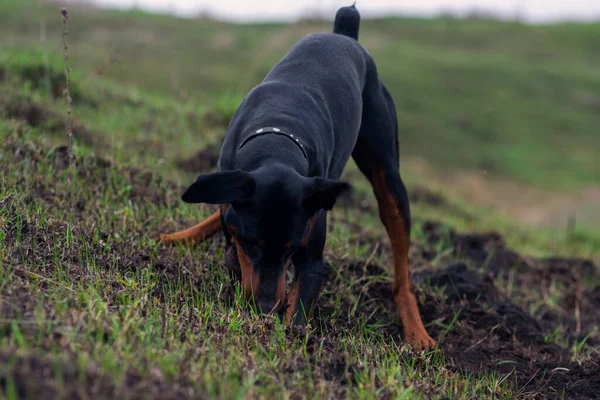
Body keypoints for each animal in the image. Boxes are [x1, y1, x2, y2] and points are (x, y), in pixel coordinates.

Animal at [159, 4, 436, 352]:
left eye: (291, 249)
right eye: (253, 243)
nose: (265, 308)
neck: (279, 137)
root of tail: (344, 34)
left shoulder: (311, 247)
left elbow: (299, 301)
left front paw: (284, 331)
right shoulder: (237, 214)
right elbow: (234, 251)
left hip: (388, 175)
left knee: (401, 263)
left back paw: (416, 331)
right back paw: (178, 237)